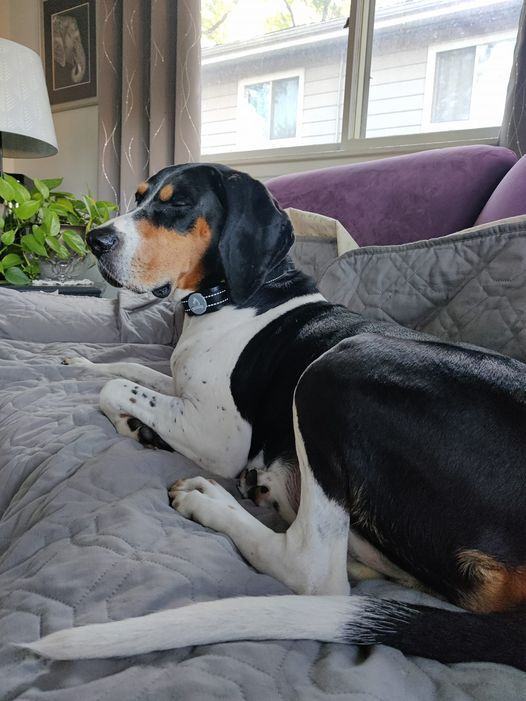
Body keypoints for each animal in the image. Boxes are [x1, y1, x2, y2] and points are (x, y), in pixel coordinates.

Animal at [25, 163, 526, 668]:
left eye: (178, 203)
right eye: (139, 197)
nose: (94, 239)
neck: (235, 296)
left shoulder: (218, 435)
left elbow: (117, 388)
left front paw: (132, 421)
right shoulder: (186, 394)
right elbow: (131, 371)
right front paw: (85, 368)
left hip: (333, 369)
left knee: (315, 573)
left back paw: (211, 500)